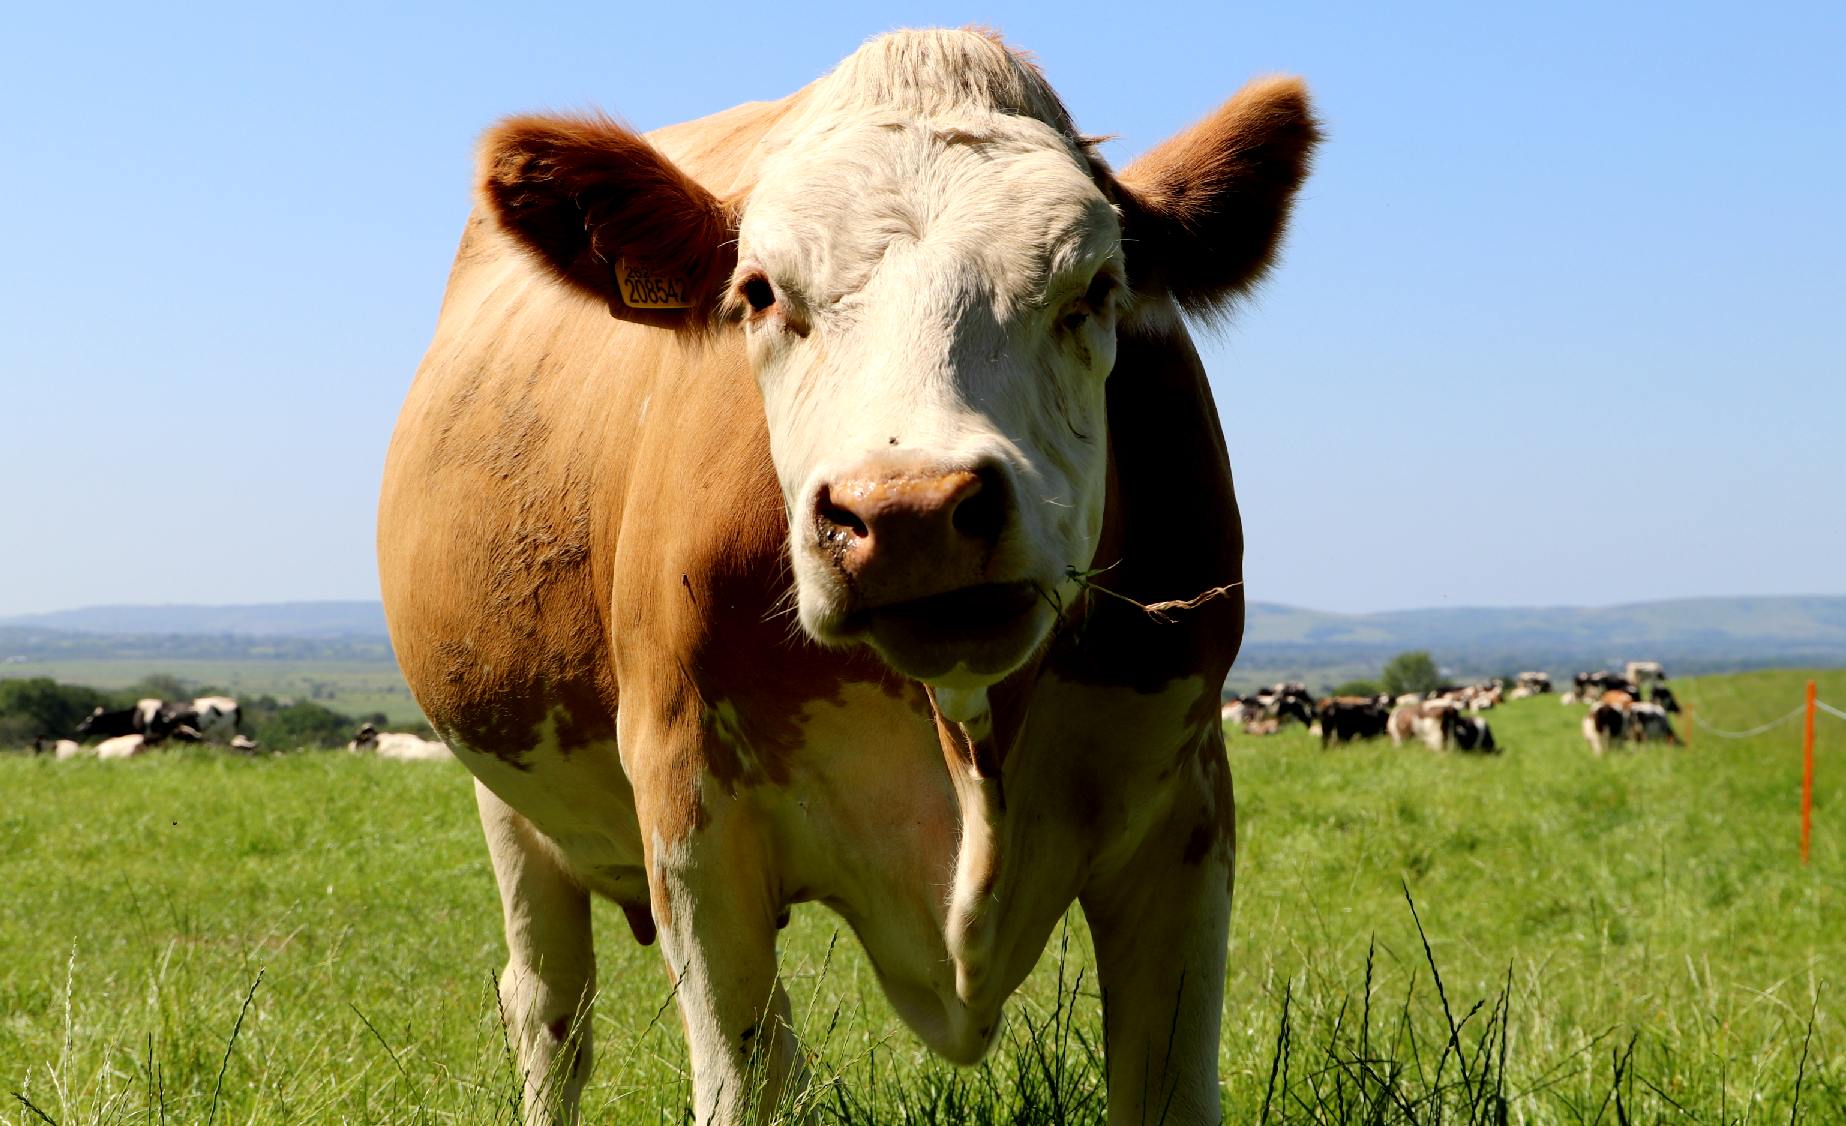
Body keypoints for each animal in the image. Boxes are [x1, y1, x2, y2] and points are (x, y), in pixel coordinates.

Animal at [382, 28, 1321, 1122]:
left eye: (1095, 287)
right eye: (758, 292)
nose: (907, 510)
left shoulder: (1184, 809)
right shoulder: (692, 813)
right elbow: (732, 1079)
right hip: (507, 788)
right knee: (549, 1010)